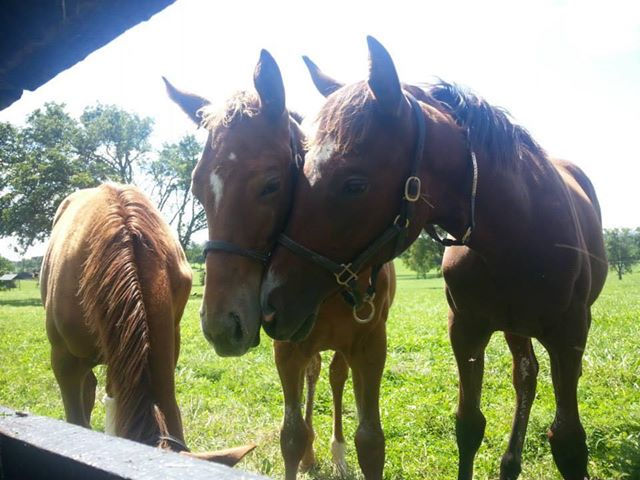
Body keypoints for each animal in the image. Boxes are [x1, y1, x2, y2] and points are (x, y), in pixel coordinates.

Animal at [164, 49, 395, 479]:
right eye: (197, 187)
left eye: (271, 184)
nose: (222, 328)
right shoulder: (287, 347)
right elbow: (292, 434)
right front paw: (303, 451)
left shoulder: (371, 345)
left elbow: (371, 441)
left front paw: (345, 449)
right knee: (314, 375)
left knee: (334, 377)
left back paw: (336, 451)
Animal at [261, 37, 607, 480]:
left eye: (355, 184)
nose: (270, 303)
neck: (517, 234)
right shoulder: (466, 331)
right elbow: (469, 425)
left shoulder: (569, 335)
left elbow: (568, 443)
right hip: (516, 330)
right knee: (525, 375)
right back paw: (509, 463)